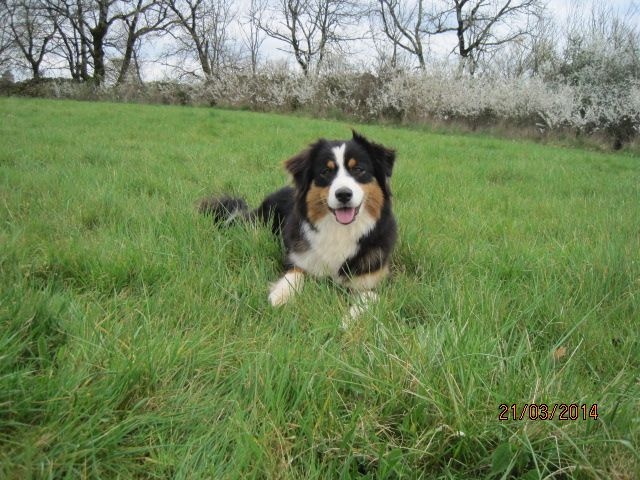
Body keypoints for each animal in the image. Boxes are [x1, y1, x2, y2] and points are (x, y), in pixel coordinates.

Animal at [200, 131, 398, 316]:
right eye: (325, 172)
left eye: (358, 169)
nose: (343, 194)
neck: (340, 230)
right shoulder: (300, 258)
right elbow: (295, 274)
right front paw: (279, 297)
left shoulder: (376, 280)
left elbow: (368, 297)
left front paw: (347, 320)